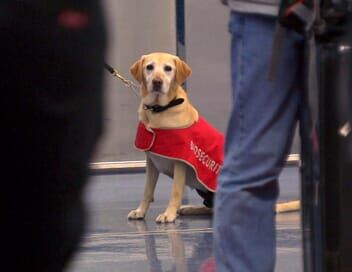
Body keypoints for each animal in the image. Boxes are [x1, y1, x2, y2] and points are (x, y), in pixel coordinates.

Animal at [127, 52, 214, 223]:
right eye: (149, 67)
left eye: (168, 68)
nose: (157, 82)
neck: (158, 110)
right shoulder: (151, 162)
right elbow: (147, 191)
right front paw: (140, 211)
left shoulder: (180, 163)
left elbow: (175, 191)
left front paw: (169, 214)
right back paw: (189, 209)